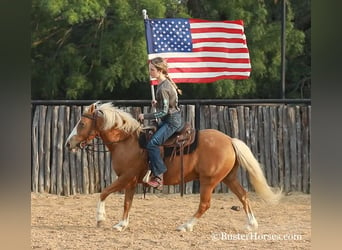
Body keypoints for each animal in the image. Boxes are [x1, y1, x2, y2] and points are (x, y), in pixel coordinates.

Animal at [65, 101, 282, 232]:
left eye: (81, 124)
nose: (68, 143)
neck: (126, 141)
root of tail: (230, 140)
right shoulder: (131, 181)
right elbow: (127, 202)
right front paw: (122, 224)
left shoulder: (126, 177)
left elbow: (104, 193)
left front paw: (101, 218)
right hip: (229, 178)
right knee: (243, 196)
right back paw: (252, 224)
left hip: (208, 181)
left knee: (205, 204)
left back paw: (185, 226)